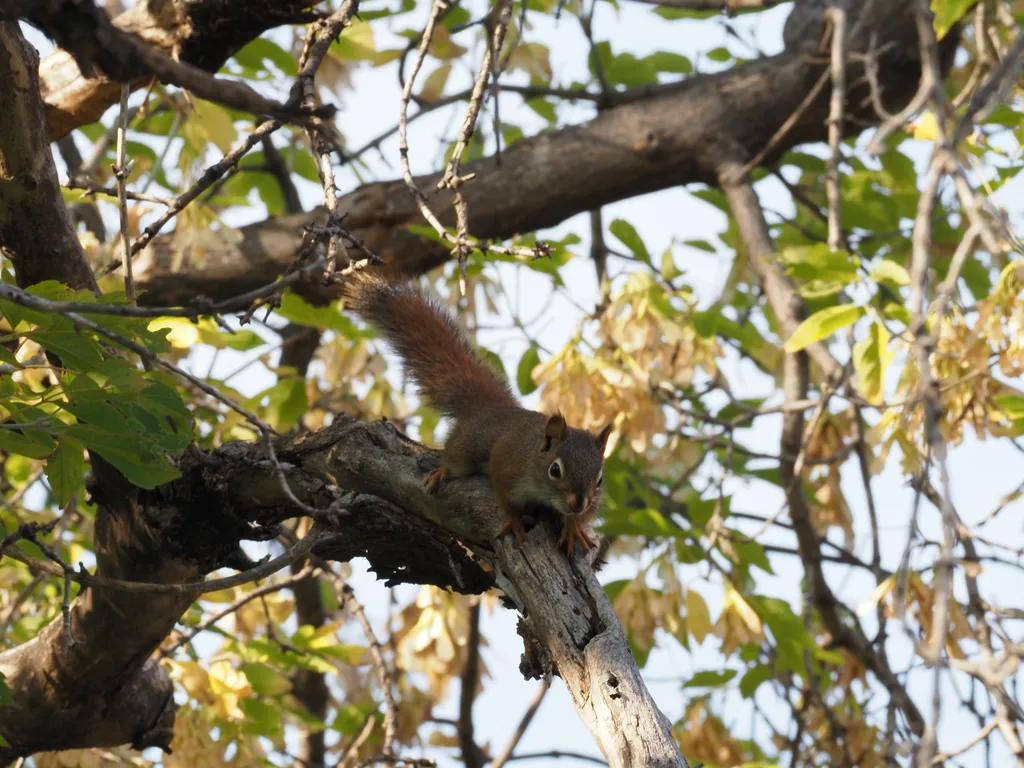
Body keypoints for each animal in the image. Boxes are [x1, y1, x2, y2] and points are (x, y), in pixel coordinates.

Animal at [342, 271, 611, 553]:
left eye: (599, 480)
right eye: (555, 470)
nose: (578, 503)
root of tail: (495, 409)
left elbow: (582, 518)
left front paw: (573, 527)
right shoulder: (507, 468)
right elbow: (506, 500)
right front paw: (516, 522)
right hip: (469, 444)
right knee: (454, 458)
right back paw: (442, 472)